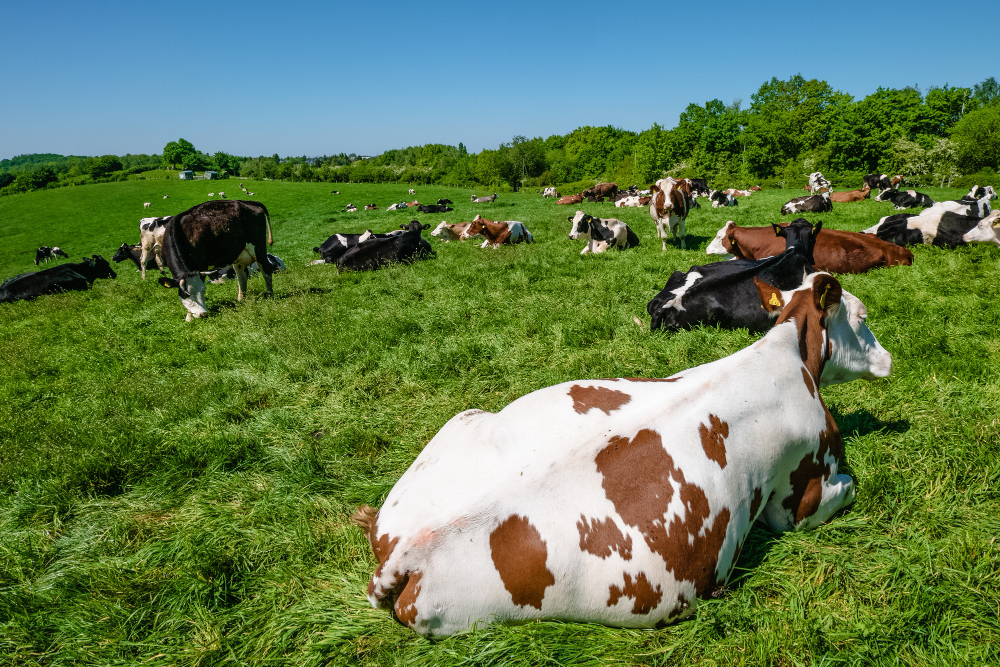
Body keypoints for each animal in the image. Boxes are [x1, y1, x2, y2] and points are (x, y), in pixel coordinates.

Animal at [352, 268, 892, 640]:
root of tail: (403, 550)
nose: (890, 358)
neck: (788, 353)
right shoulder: (799, 497)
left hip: (460, 421)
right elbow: (846, 488)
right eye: (863, 317)